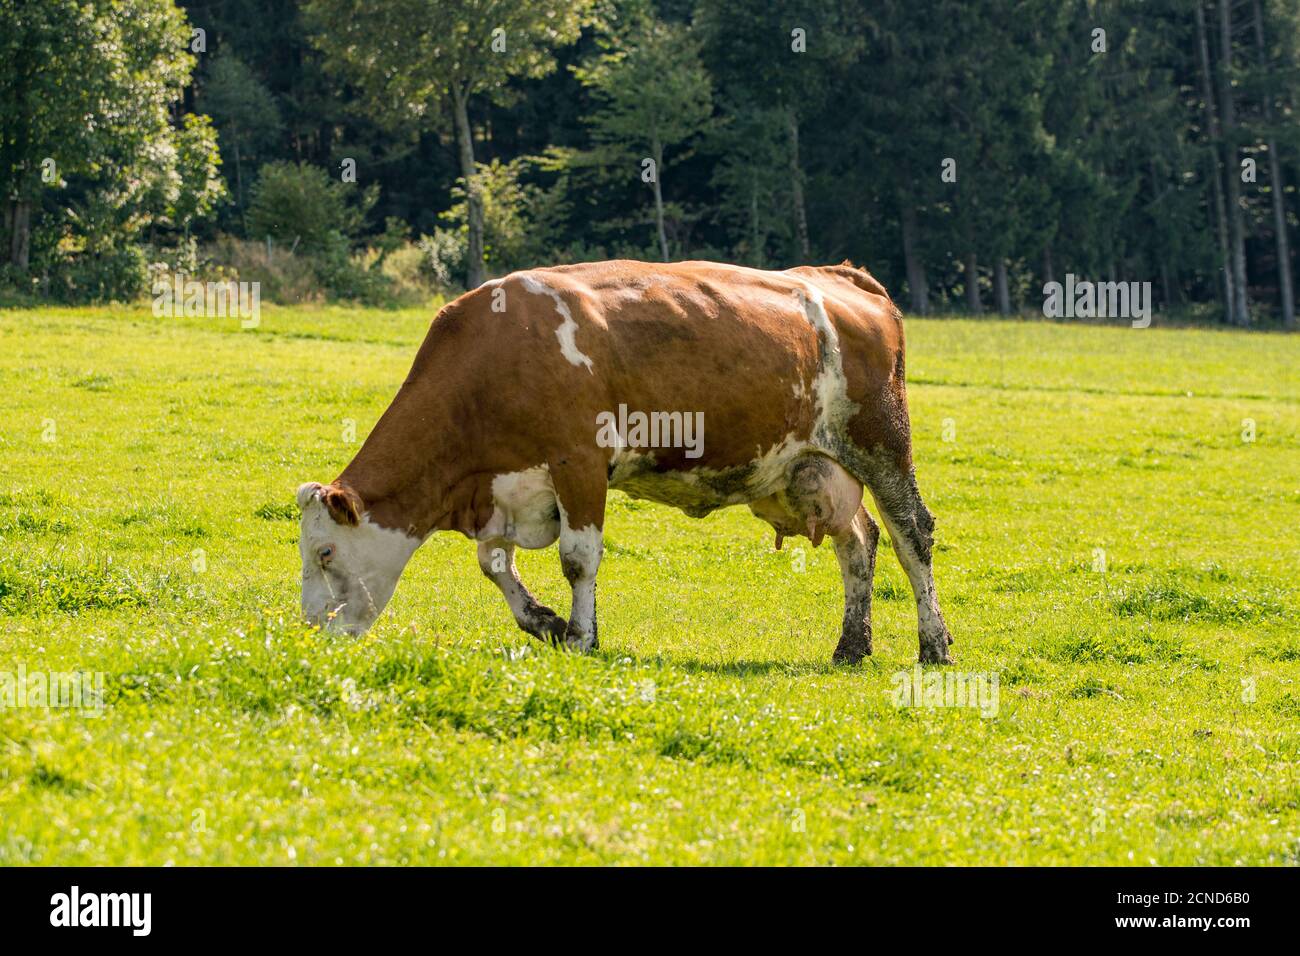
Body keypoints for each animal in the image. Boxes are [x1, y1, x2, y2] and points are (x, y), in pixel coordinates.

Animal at [297, 260, 953, 664]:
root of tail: (838, 277)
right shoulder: (500, 486)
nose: (308, 632)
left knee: (910, 535)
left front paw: (581, 637)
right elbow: (493, 565)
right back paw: (851, 646)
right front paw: (545, 622)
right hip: (814, 469)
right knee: (858, 543)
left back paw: (934, 644)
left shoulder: (579, 463)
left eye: (325, 552)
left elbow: (578, 560)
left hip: (882, 444)